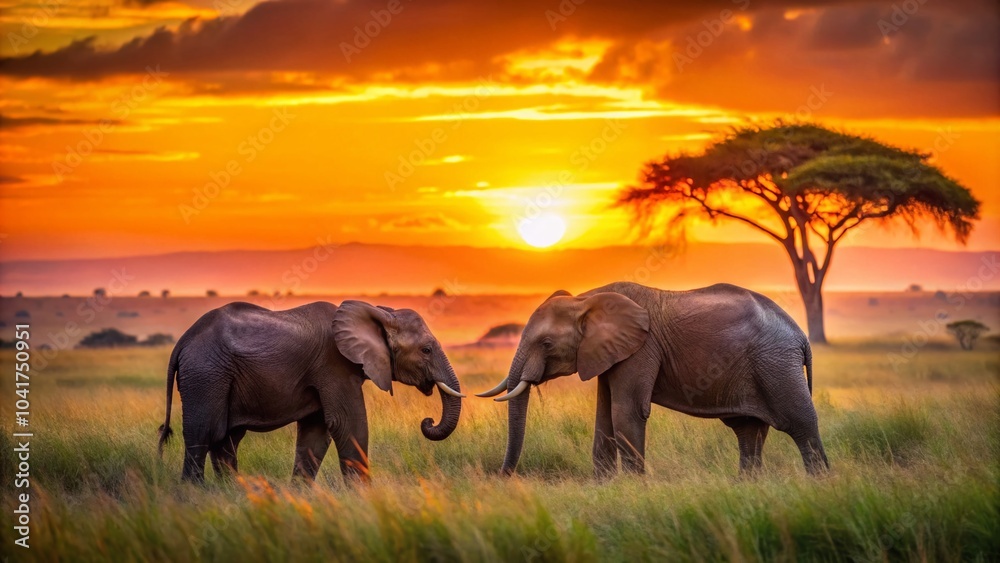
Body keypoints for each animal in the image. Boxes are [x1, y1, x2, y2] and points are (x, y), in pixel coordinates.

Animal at [157, 300, 464, 483]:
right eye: (426, 350)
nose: (427, 421)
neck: (379, 312)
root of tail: (183, 342)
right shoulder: (334, 364)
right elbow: (347, 423)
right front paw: (365, 501)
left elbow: (317, 432)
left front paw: (298, 498)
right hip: (205, 375)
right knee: (203, 434)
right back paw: (195, 496)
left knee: (226, 440)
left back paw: (231, 494)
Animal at [478, 282, 828, 478]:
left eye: (547, 344)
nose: (502, 477)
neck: (586, 299)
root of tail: (800, 336)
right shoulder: (609, 353)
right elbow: (604, 418)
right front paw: (604, 488)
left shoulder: (641, 348)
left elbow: (626, 412)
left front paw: (634, 489)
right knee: (748, 431)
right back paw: (746, 486)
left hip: (776, 364)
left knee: (800, 422)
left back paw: (820, 484)